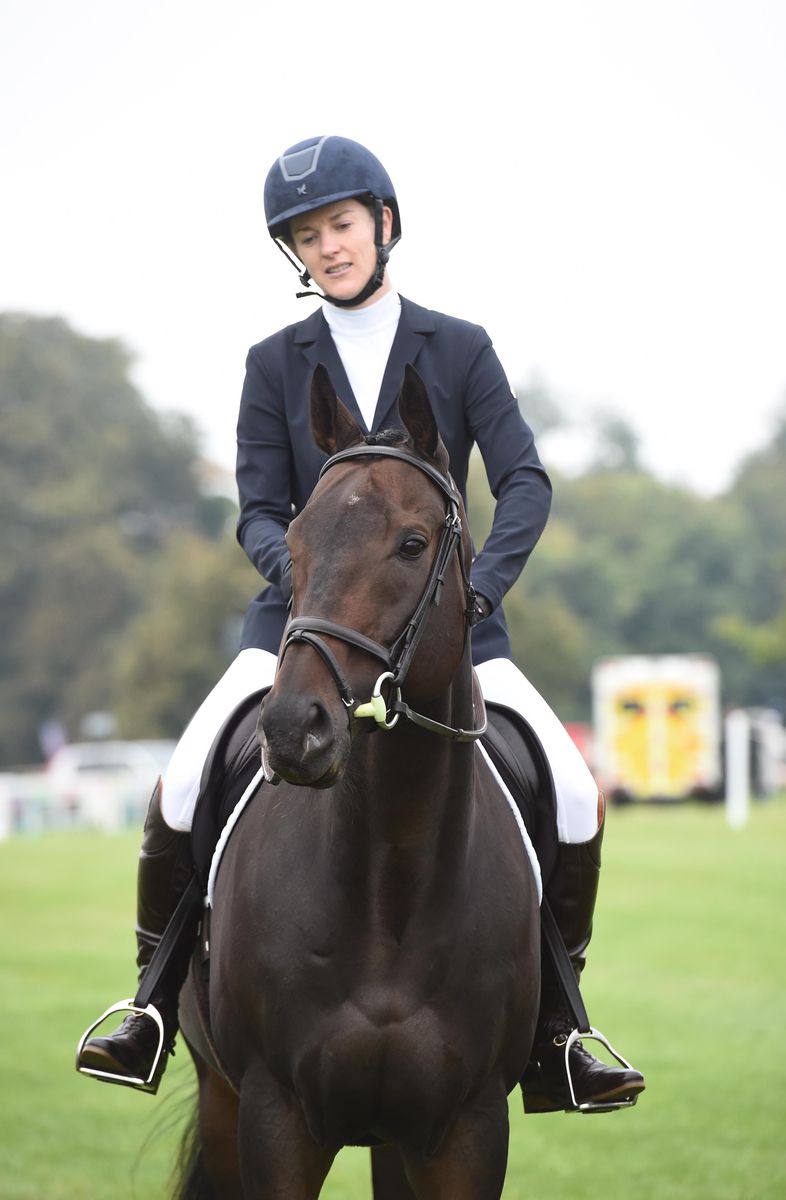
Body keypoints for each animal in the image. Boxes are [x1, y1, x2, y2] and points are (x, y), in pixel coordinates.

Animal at [175, 363, 542, 1199]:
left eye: (411, 544)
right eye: (294, 542)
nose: (293, 729)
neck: (391, 873)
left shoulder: (468, 1130)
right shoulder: (272, 1118)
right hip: (222, 1102)